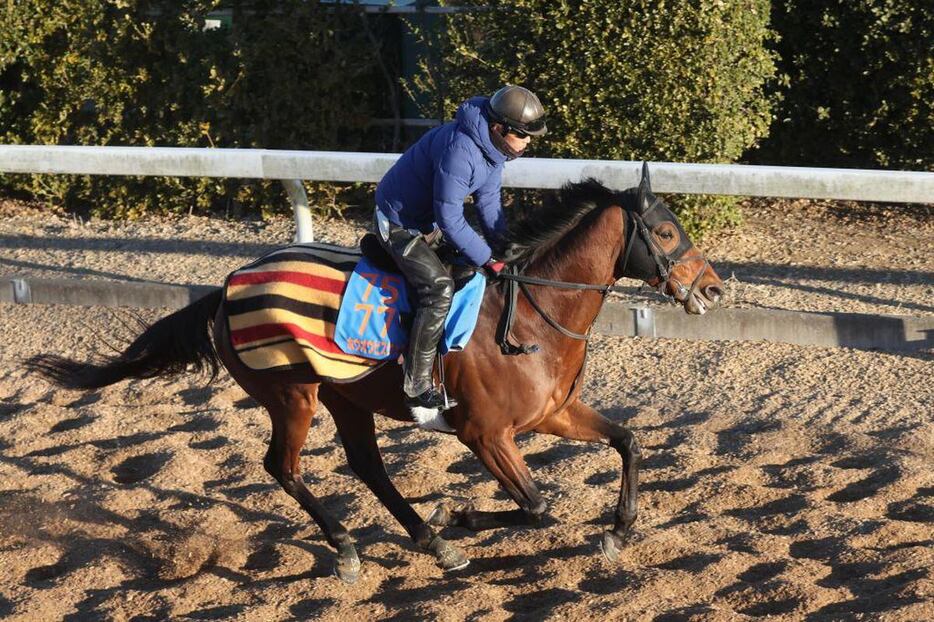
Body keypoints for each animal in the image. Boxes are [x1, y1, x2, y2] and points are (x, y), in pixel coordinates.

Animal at [27, 166, 724, 584]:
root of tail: (227, 286)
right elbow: (537, 507)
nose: (714, 288)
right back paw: (348, 548)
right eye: (665, 231)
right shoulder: (484, 434)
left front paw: (619, 531)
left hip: (346, 396)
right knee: (284, 466)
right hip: (292, 394)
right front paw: (462, 516)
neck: (530, 313)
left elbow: (628, 441)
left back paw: (427, 539)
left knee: (367, 465)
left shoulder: (551, 413)